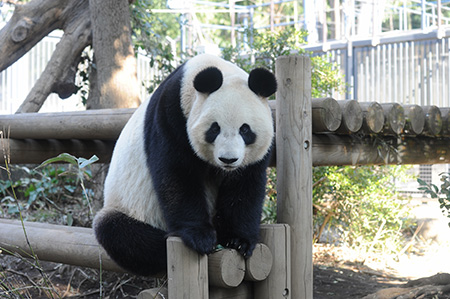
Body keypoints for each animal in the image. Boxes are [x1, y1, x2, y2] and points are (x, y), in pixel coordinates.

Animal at [94, 53, 278, 276]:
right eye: (214, 128)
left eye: (245, 130)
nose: (228, 159)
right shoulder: (170, 117)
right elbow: (177, 174)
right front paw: (201, 237)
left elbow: (245, 186)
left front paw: (239, 240)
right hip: (128, 207)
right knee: (119, 233)